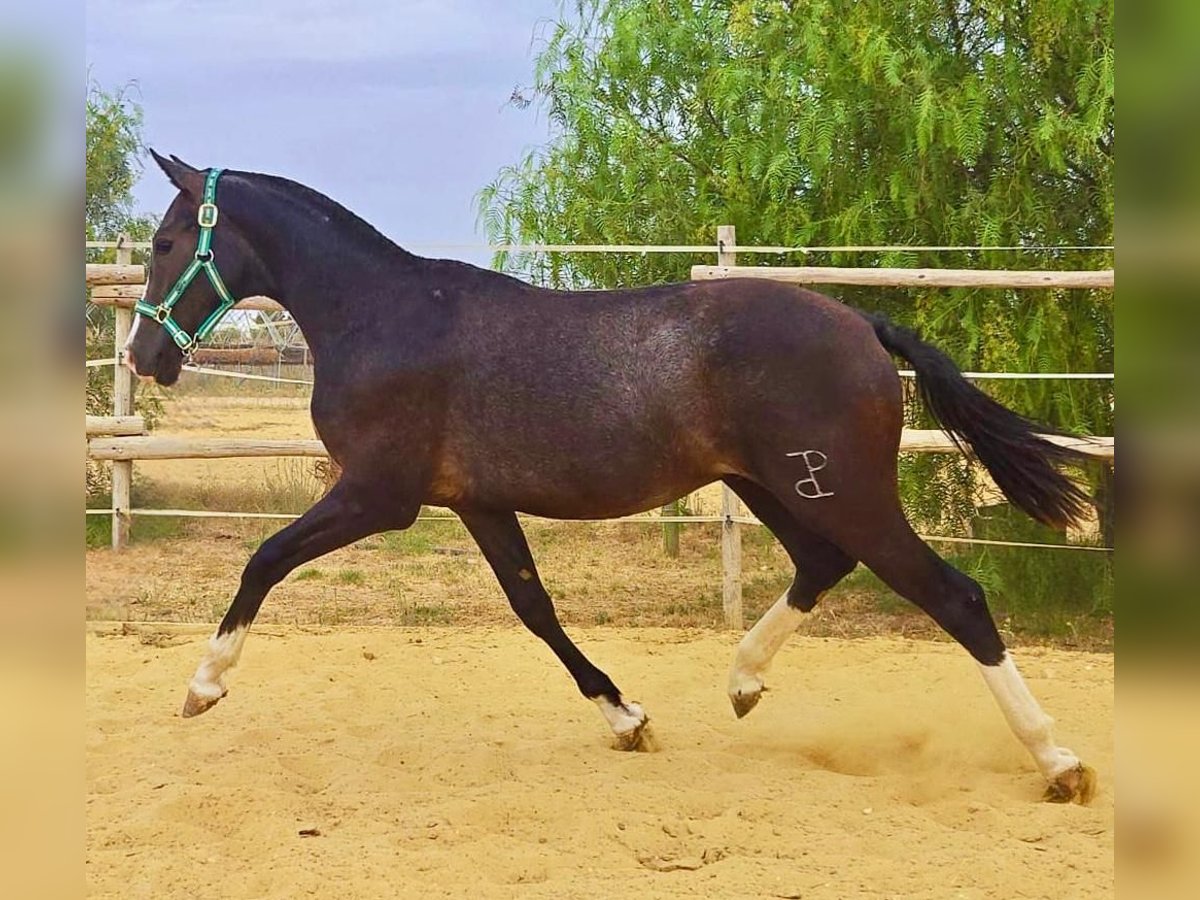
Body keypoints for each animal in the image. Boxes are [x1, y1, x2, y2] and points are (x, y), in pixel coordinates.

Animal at [125, 151, 1096, 804]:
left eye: (167, 242)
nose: (142, 356)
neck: (381, 316)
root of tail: (862, 323)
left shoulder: (378, 494)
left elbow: (264, 558)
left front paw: (202, 688)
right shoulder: (476, 503)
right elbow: (533, 607)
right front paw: (627, 720)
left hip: (842, 492)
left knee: (954, 596)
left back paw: (1060, 763)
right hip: (776, 486)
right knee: (823, 565)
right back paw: (742, 684)